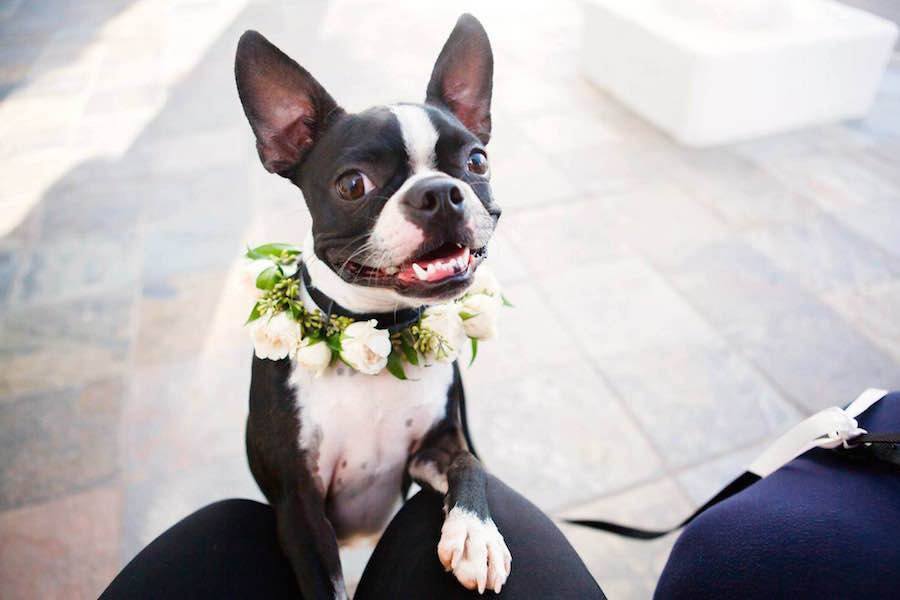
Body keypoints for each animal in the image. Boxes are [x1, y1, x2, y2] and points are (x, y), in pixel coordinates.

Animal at [236, 14, 510, 600]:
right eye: (352, 184)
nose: (440, 192)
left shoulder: (434, 447)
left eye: (476, 160)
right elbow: (326, 585)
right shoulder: (300, 504)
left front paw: (476, 535)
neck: (378, 332)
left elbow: (470, 464)